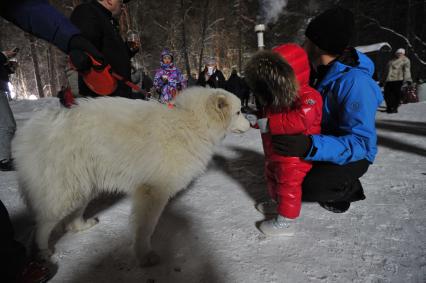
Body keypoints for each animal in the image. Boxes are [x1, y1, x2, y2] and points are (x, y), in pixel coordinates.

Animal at [12, 87, 250, 268]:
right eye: (239, 112)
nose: (251, 124)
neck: (191, 120)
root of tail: (33, 130)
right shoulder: (153, 191)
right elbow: (145, 228)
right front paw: (145, 255)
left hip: (83, 185)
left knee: (71, 219)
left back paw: (82, 226)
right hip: (65, 191)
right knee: (42, 224)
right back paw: (42, 252)